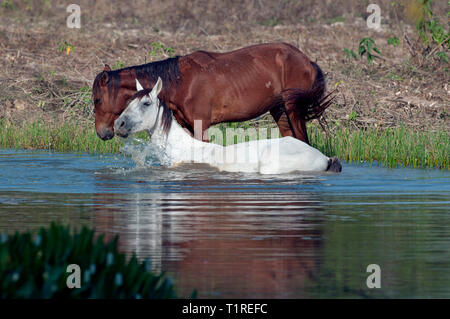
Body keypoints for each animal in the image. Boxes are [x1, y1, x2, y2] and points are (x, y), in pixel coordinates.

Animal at [92, 42, 330, 144]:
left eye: (97, 99)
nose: (103, 133)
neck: (180, 82)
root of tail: (307, 60)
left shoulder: (202, 127)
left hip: (293, 109)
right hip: (279, 110)